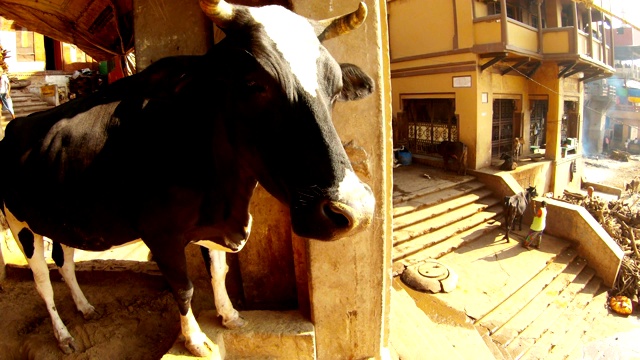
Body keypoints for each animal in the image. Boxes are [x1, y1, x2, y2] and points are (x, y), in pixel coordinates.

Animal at [0, 0, 378, 354]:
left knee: (65, 262)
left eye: (335, 88)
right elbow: (184, 288)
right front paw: (195, 340)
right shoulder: (161, 235)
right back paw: (63, 335)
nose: (356, 210)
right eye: (253, 83)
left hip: (60, 218)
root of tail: (15, 126)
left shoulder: (214, 225)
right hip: (19, 224)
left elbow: (219, 272)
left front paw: (230, 315)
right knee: (42, 280)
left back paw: (84, 307)